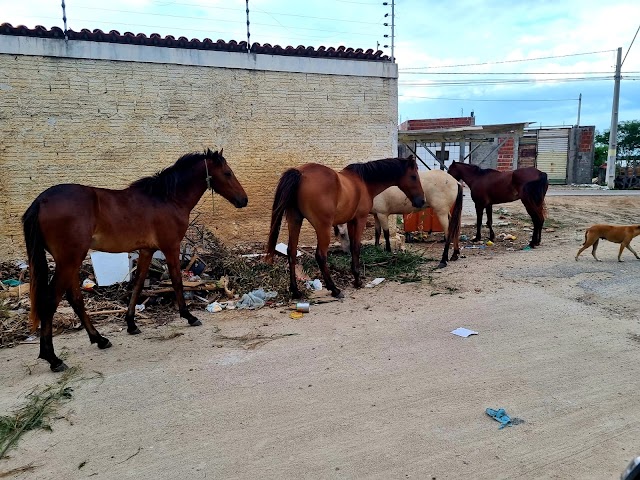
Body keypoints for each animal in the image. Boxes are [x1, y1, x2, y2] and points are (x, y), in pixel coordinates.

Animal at [22, 148, 248, 374]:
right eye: (227, 173)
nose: (243, 200)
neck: (166, 198)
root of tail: (41, 201)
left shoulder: (146, 251)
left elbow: (138, 284)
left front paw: (131, 324)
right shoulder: (171, 247)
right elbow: (176, 281)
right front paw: (189, 316)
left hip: (69, 262)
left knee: (75, 299)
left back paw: (99, 339)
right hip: (69, 261)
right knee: (51, 300)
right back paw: (52, 358)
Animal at [264, 156, 424, 298]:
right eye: (413, 176)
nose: (421, 201)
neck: (364, 182)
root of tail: (300, 173)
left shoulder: (350, 221)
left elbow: (352, 246)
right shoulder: (359, 220)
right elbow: (356, 247)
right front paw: (357, 280)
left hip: (295, 220)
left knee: (291, 252)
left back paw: (296, 291)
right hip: (323, 227)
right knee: (320, 255)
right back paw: (334, 289)